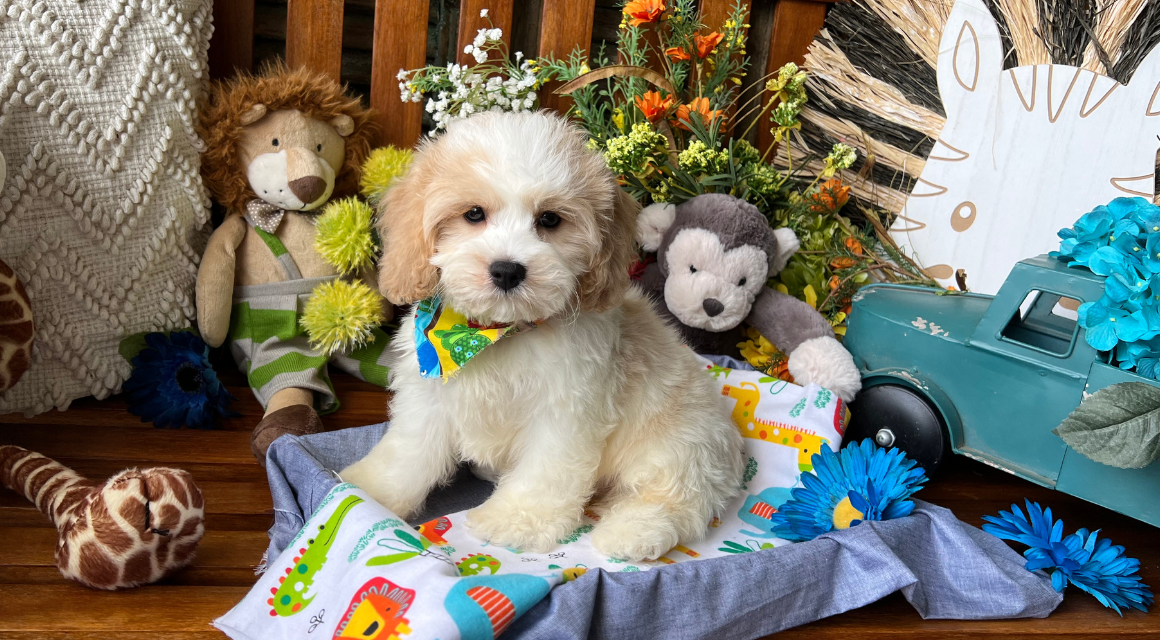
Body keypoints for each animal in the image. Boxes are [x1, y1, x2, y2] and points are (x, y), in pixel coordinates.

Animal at [341, 111, 742, 561]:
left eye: (549, 219)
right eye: (474, 214)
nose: (507, 270)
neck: (494, 334)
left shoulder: (565, 412)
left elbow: (544, 470)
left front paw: (516, 519)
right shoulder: (429, 398)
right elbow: (408, 452)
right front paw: (369, 492)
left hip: (680, 444)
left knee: (676, 501)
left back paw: (630, 532)